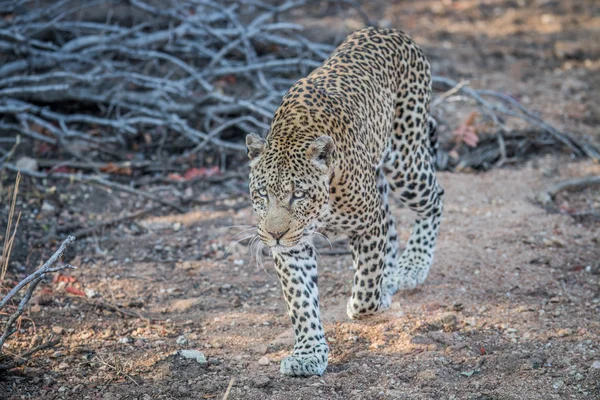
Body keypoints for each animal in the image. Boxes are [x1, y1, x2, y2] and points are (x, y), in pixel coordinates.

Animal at [245, 26, 446, 376]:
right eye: (262, 195)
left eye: (298, 194)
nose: (274, 235)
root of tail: (388, 29)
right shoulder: (294, 248)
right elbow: (301, 301)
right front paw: (308, 354)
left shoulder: (368, 223)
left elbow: (366, 286)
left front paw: (368, 302)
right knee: (395, 227)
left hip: (405, 160)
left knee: (435, 198)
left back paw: (411, 267)